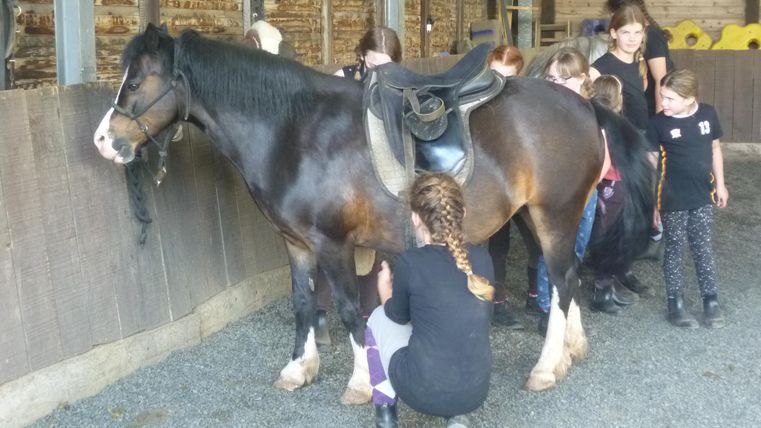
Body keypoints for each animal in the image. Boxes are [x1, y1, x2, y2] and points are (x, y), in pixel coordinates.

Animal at [93, 24, 653, 401]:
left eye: (137, 83)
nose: (103, 141)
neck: (295, 131)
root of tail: (584, 106)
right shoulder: (296, 243)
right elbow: (304, 304)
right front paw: (298, 369)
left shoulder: (333, 244)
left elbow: (348, 311)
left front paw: (362, 383)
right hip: (532, 219)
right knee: (565, 279)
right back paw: (572, 351)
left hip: (553, 215)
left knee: (561, 280)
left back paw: (545, 367)